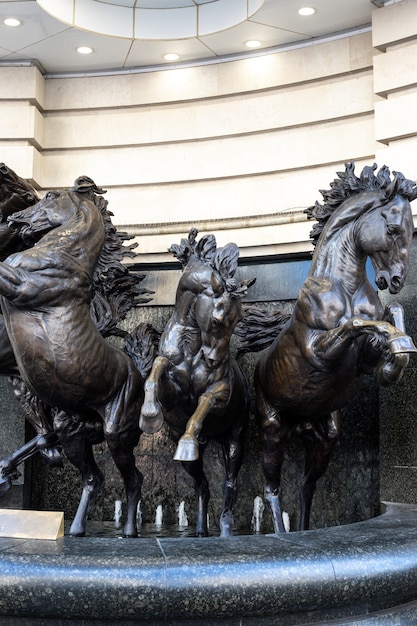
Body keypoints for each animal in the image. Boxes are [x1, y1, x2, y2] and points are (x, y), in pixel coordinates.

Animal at [247, 162, 416, 532]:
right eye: (392, 228)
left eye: (412, 231)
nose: (396, 281)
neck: (344, 287)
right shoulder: (319, 352)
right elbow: (355, 324)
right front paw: (399, 343)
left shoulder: (363, 361)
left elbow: (391, 315)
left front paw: (398, 356)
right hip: (272, 430)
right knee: (271, 489)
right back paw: (281, 535)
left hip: (325, 438)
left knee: (306, 487)